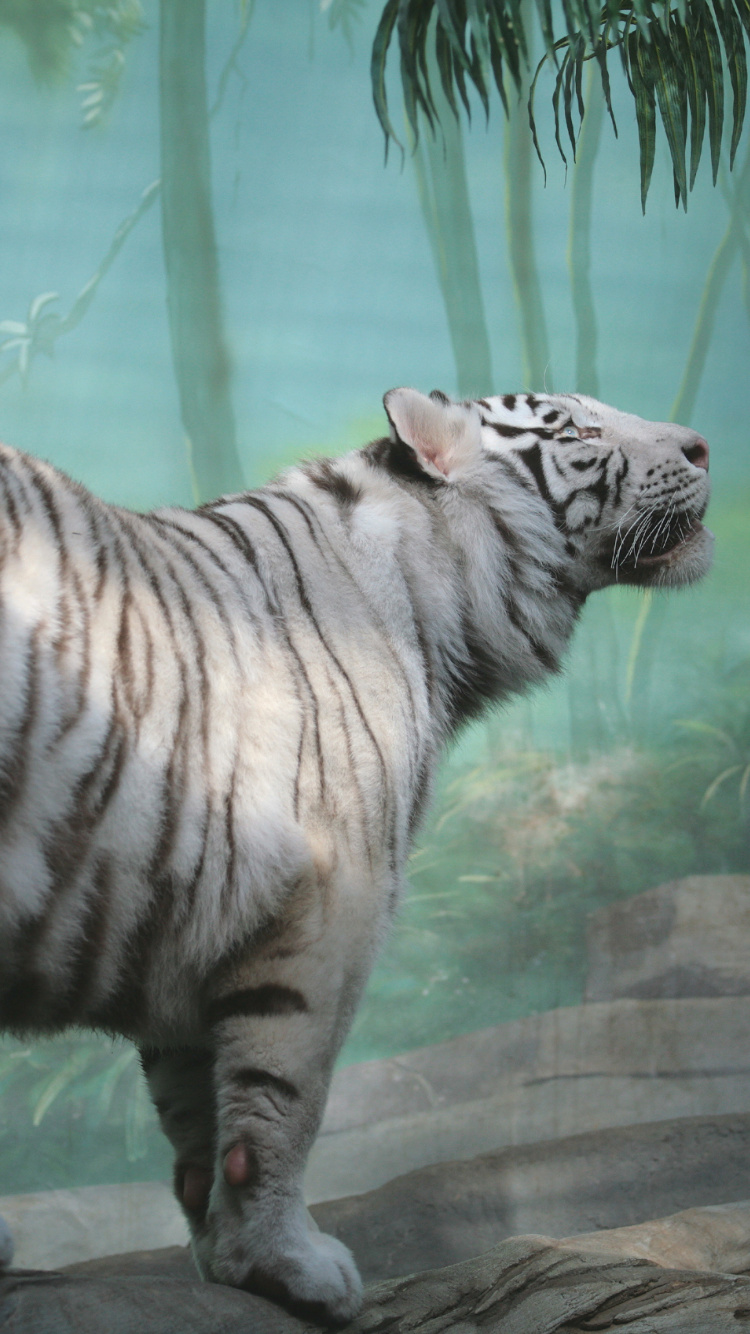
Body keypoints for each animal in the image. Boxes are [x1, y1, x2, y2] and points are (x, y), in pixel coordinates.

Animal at [0, 387, 711, 1322]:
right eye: (577, 428)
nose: (703, 447)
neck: (435, 603)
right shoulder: (332, 900)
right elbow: (284, 1102)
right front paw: (289, 1265)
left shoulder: (190, 913)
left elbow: (193, 1112)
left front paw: (223, 1254)